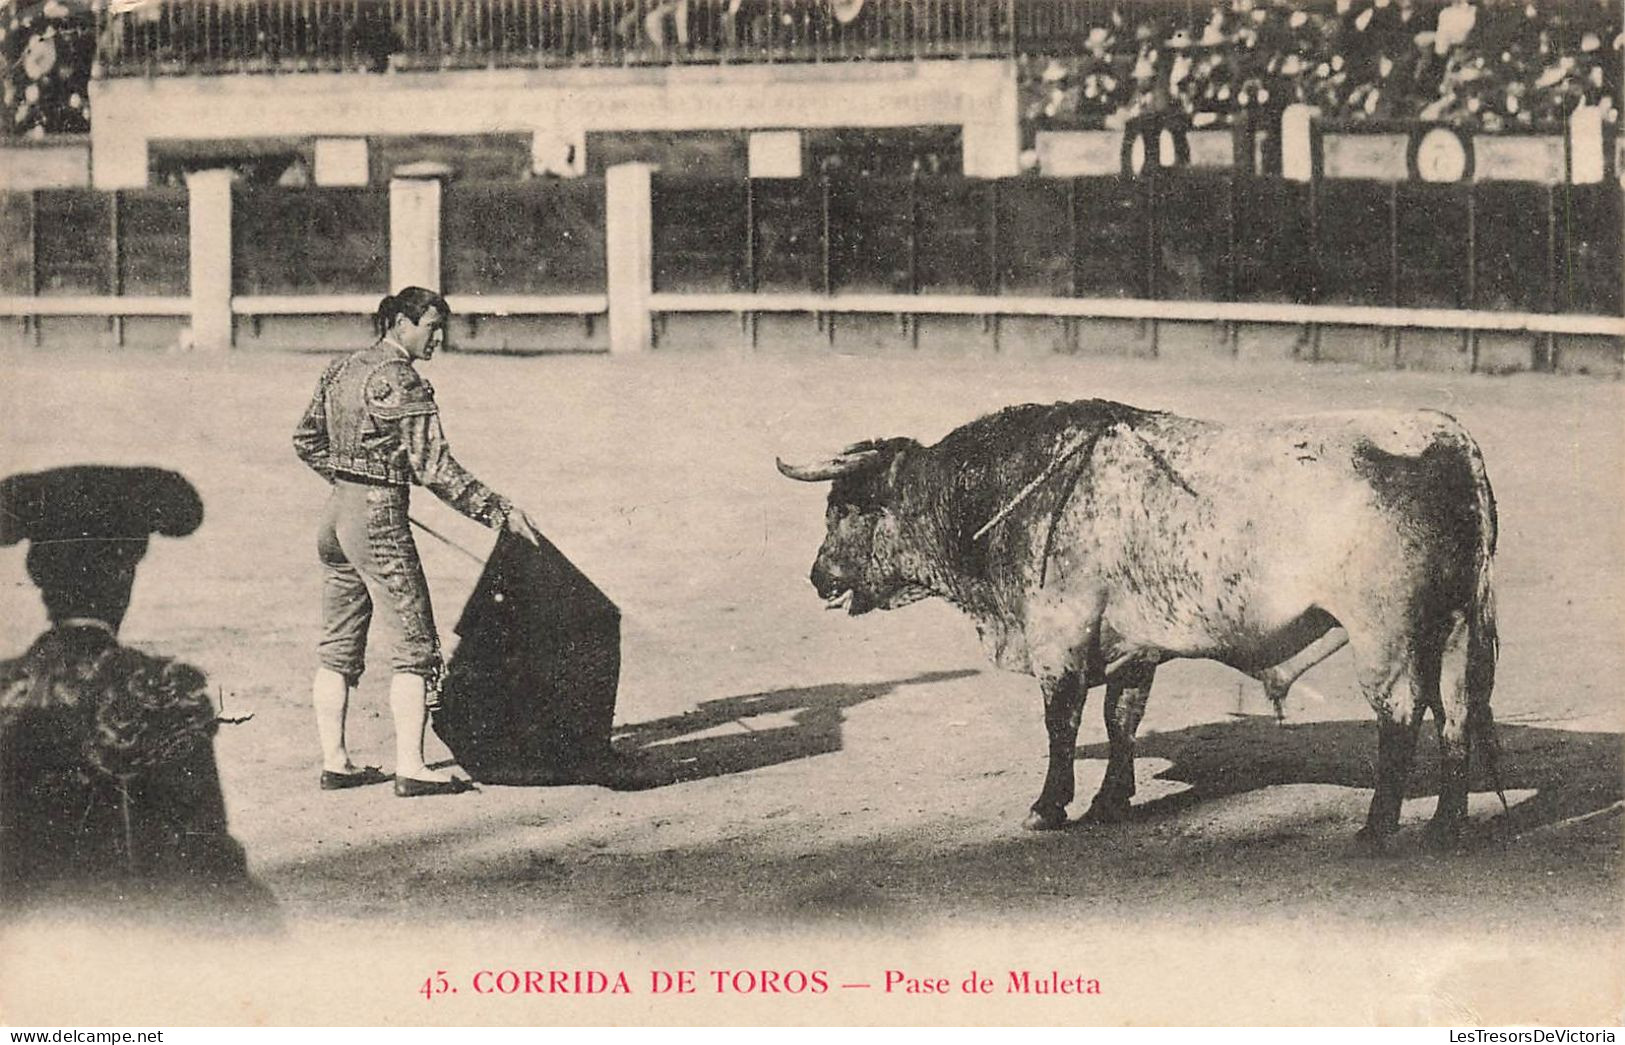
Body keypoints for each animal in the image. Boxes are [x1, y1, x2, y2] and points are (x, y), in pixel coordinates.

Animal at [780, 398, 1501, 851]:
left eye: (846, 508)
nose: (816, 576)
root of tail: (1447, 436)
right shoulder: (1132, 649)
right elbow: (1119, 721)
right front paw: (1108, 803)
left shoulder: (1060, 640)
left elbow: (1062, 725)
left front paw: (1048, 807)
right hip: (1453, 625)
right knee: (1458, 715)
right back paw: (1445, 827)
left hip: (1385, 633)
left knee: (1401, 714)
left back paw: (1378, 829)